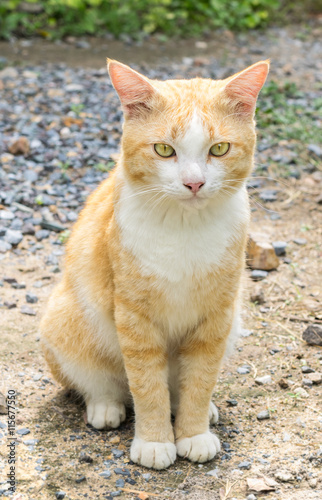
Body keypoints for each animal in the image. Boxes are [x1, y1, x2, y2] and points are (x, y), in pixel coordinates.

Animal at [40, 57, 270, 468]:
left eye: (219, 149)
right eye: (164, 150)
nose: (194, 183)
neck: (184, 228)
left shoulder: (216, 317)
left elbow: (199, 380)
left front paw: (193, 432)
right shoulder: (135, 318)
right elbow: (147, 384)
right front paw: (154, 441)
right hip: (65, 321)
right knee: (103, 383)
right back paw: (105, 406)